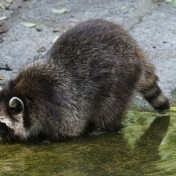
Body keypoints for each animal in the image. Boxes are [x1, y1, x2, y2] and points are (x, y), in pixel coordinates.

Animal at [0, 18, 170, 141]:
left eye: (2, 124)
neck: (24, 92)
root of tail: (134, 48)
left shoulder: (56, 105)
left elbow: (69, 129)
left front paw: (46, 138)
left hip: (121, 80)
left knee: (109, 111)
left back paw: (102, 128)